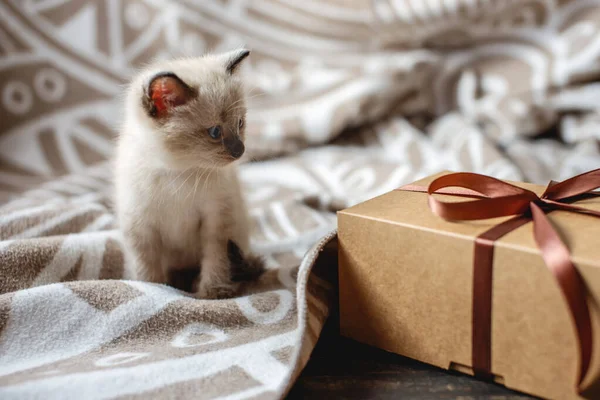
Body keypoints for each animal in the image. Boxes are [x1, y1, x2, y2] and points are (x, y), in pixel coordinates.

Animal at [113, 49, 264, 300]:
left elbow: (215, 260)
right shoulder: (140, 225)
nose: (240, 150)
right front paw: (153, 289)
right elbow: (146, 269)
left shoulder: (217, 220)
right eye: (215, 132)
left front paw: (213, 293)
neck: (181, 173)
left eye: (240, 123)